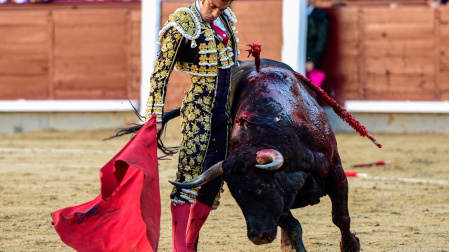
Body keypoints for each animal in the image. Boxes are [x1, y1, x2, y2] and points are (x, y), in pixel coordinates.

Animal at [170, 59, 362, 252]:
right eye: (236, 194)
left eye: (261, 185)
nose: (257, 237)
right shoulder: (282, 198)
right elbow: (293, 226)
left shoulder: (335, 169)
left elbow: (340, 217)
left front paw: (351, 246)